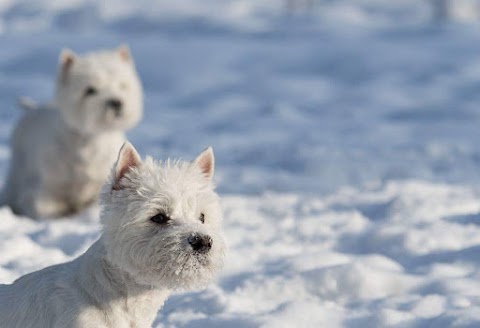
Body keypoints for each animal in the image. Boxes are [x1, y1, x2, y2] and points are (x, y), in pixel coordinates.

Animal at [2, 43, 144, 218]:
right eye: (90, 90)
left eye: (122, 85)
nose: (116, 102)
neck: (88, 142)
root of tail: (32, 108)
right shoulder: (49, 188)